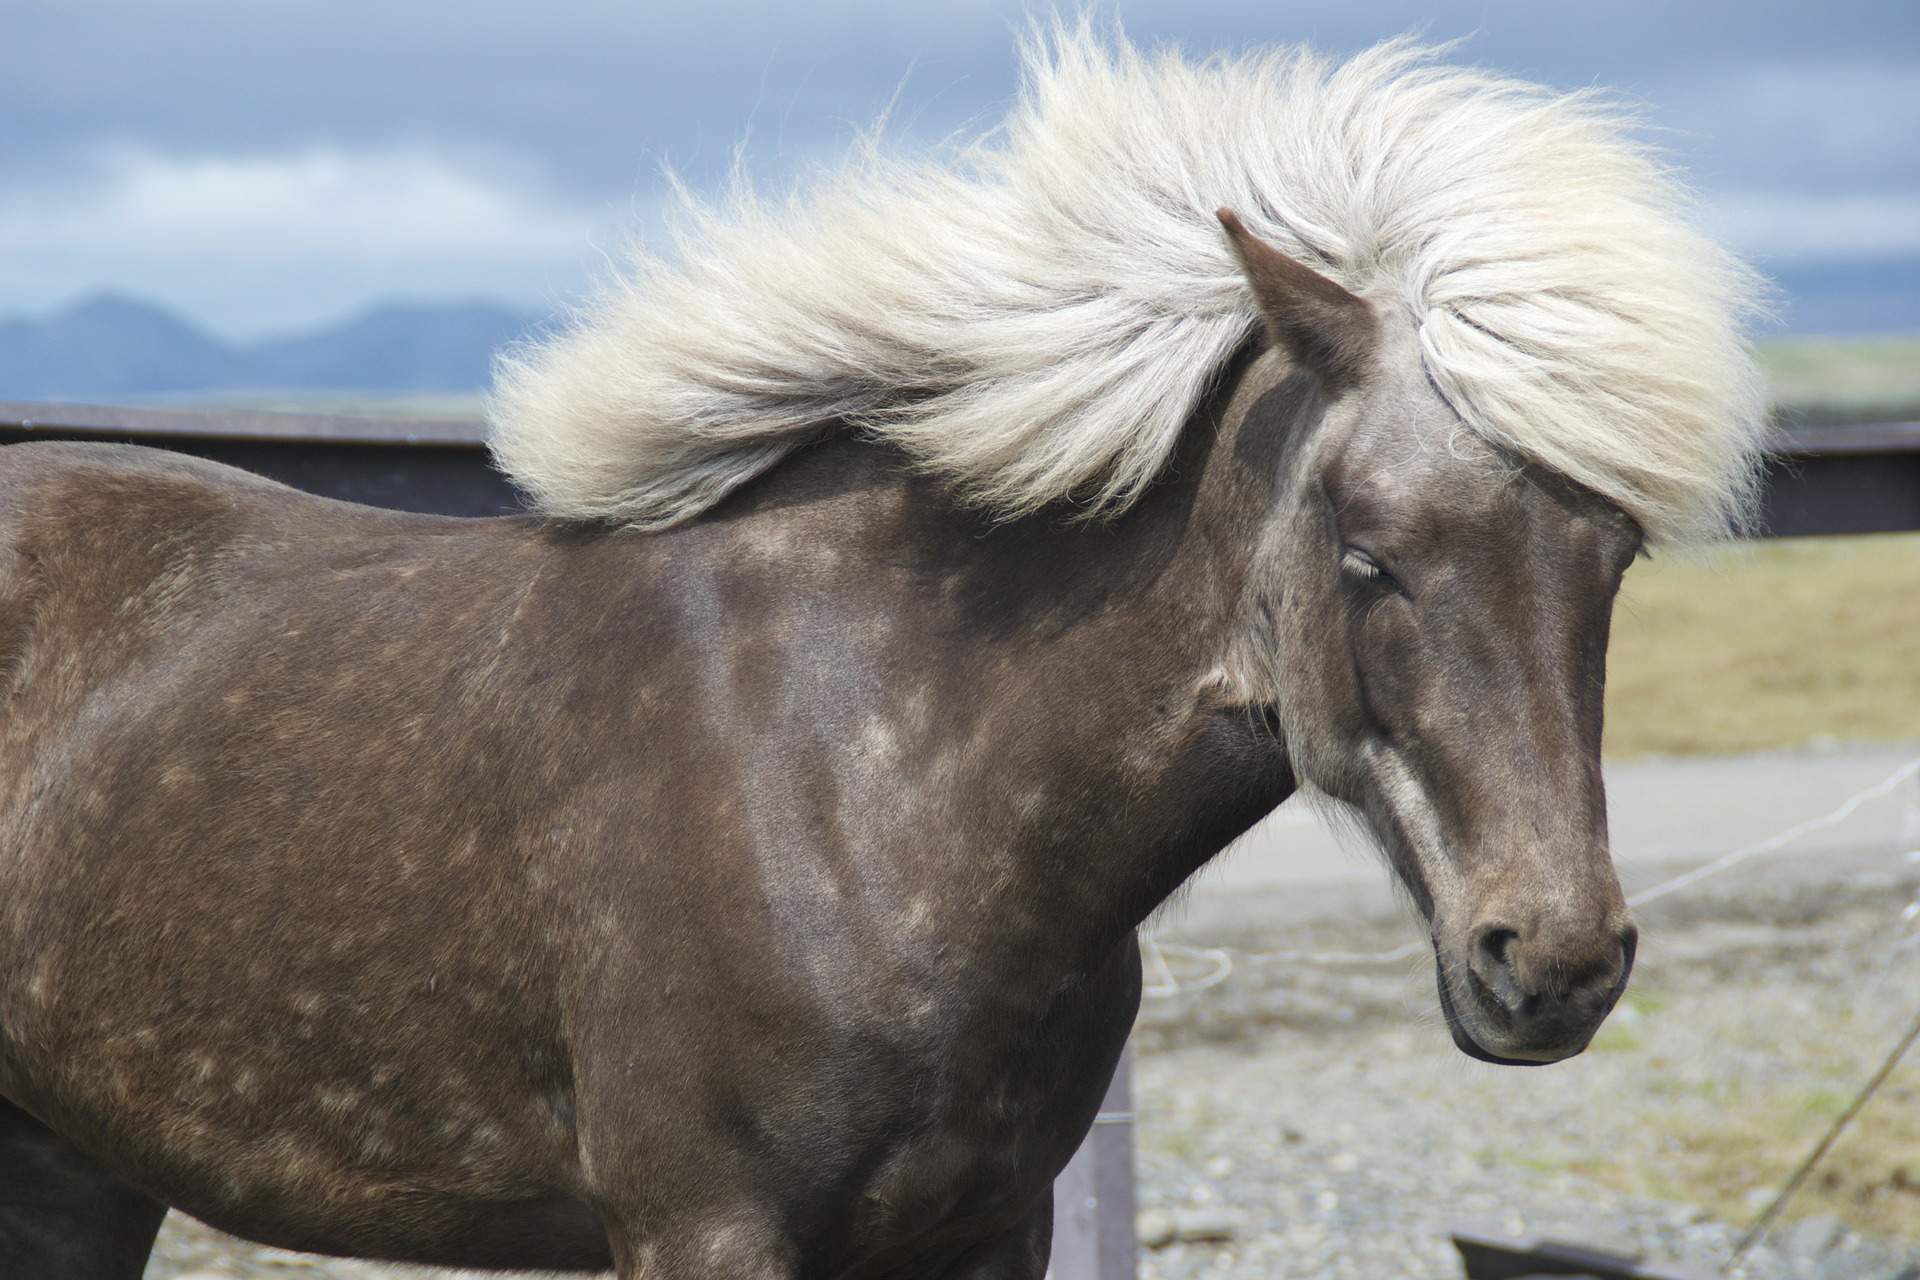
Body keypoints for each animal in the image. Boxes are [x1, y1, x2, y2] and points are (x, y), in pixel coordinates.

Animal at [0, 29, 1766, 1280]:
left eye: (1612, 560)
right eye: (1366, 554)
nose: (1553, 962)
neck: (869, 785)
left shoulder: (986, 1230)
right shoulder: (705, 1232)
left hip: (76, 1169)